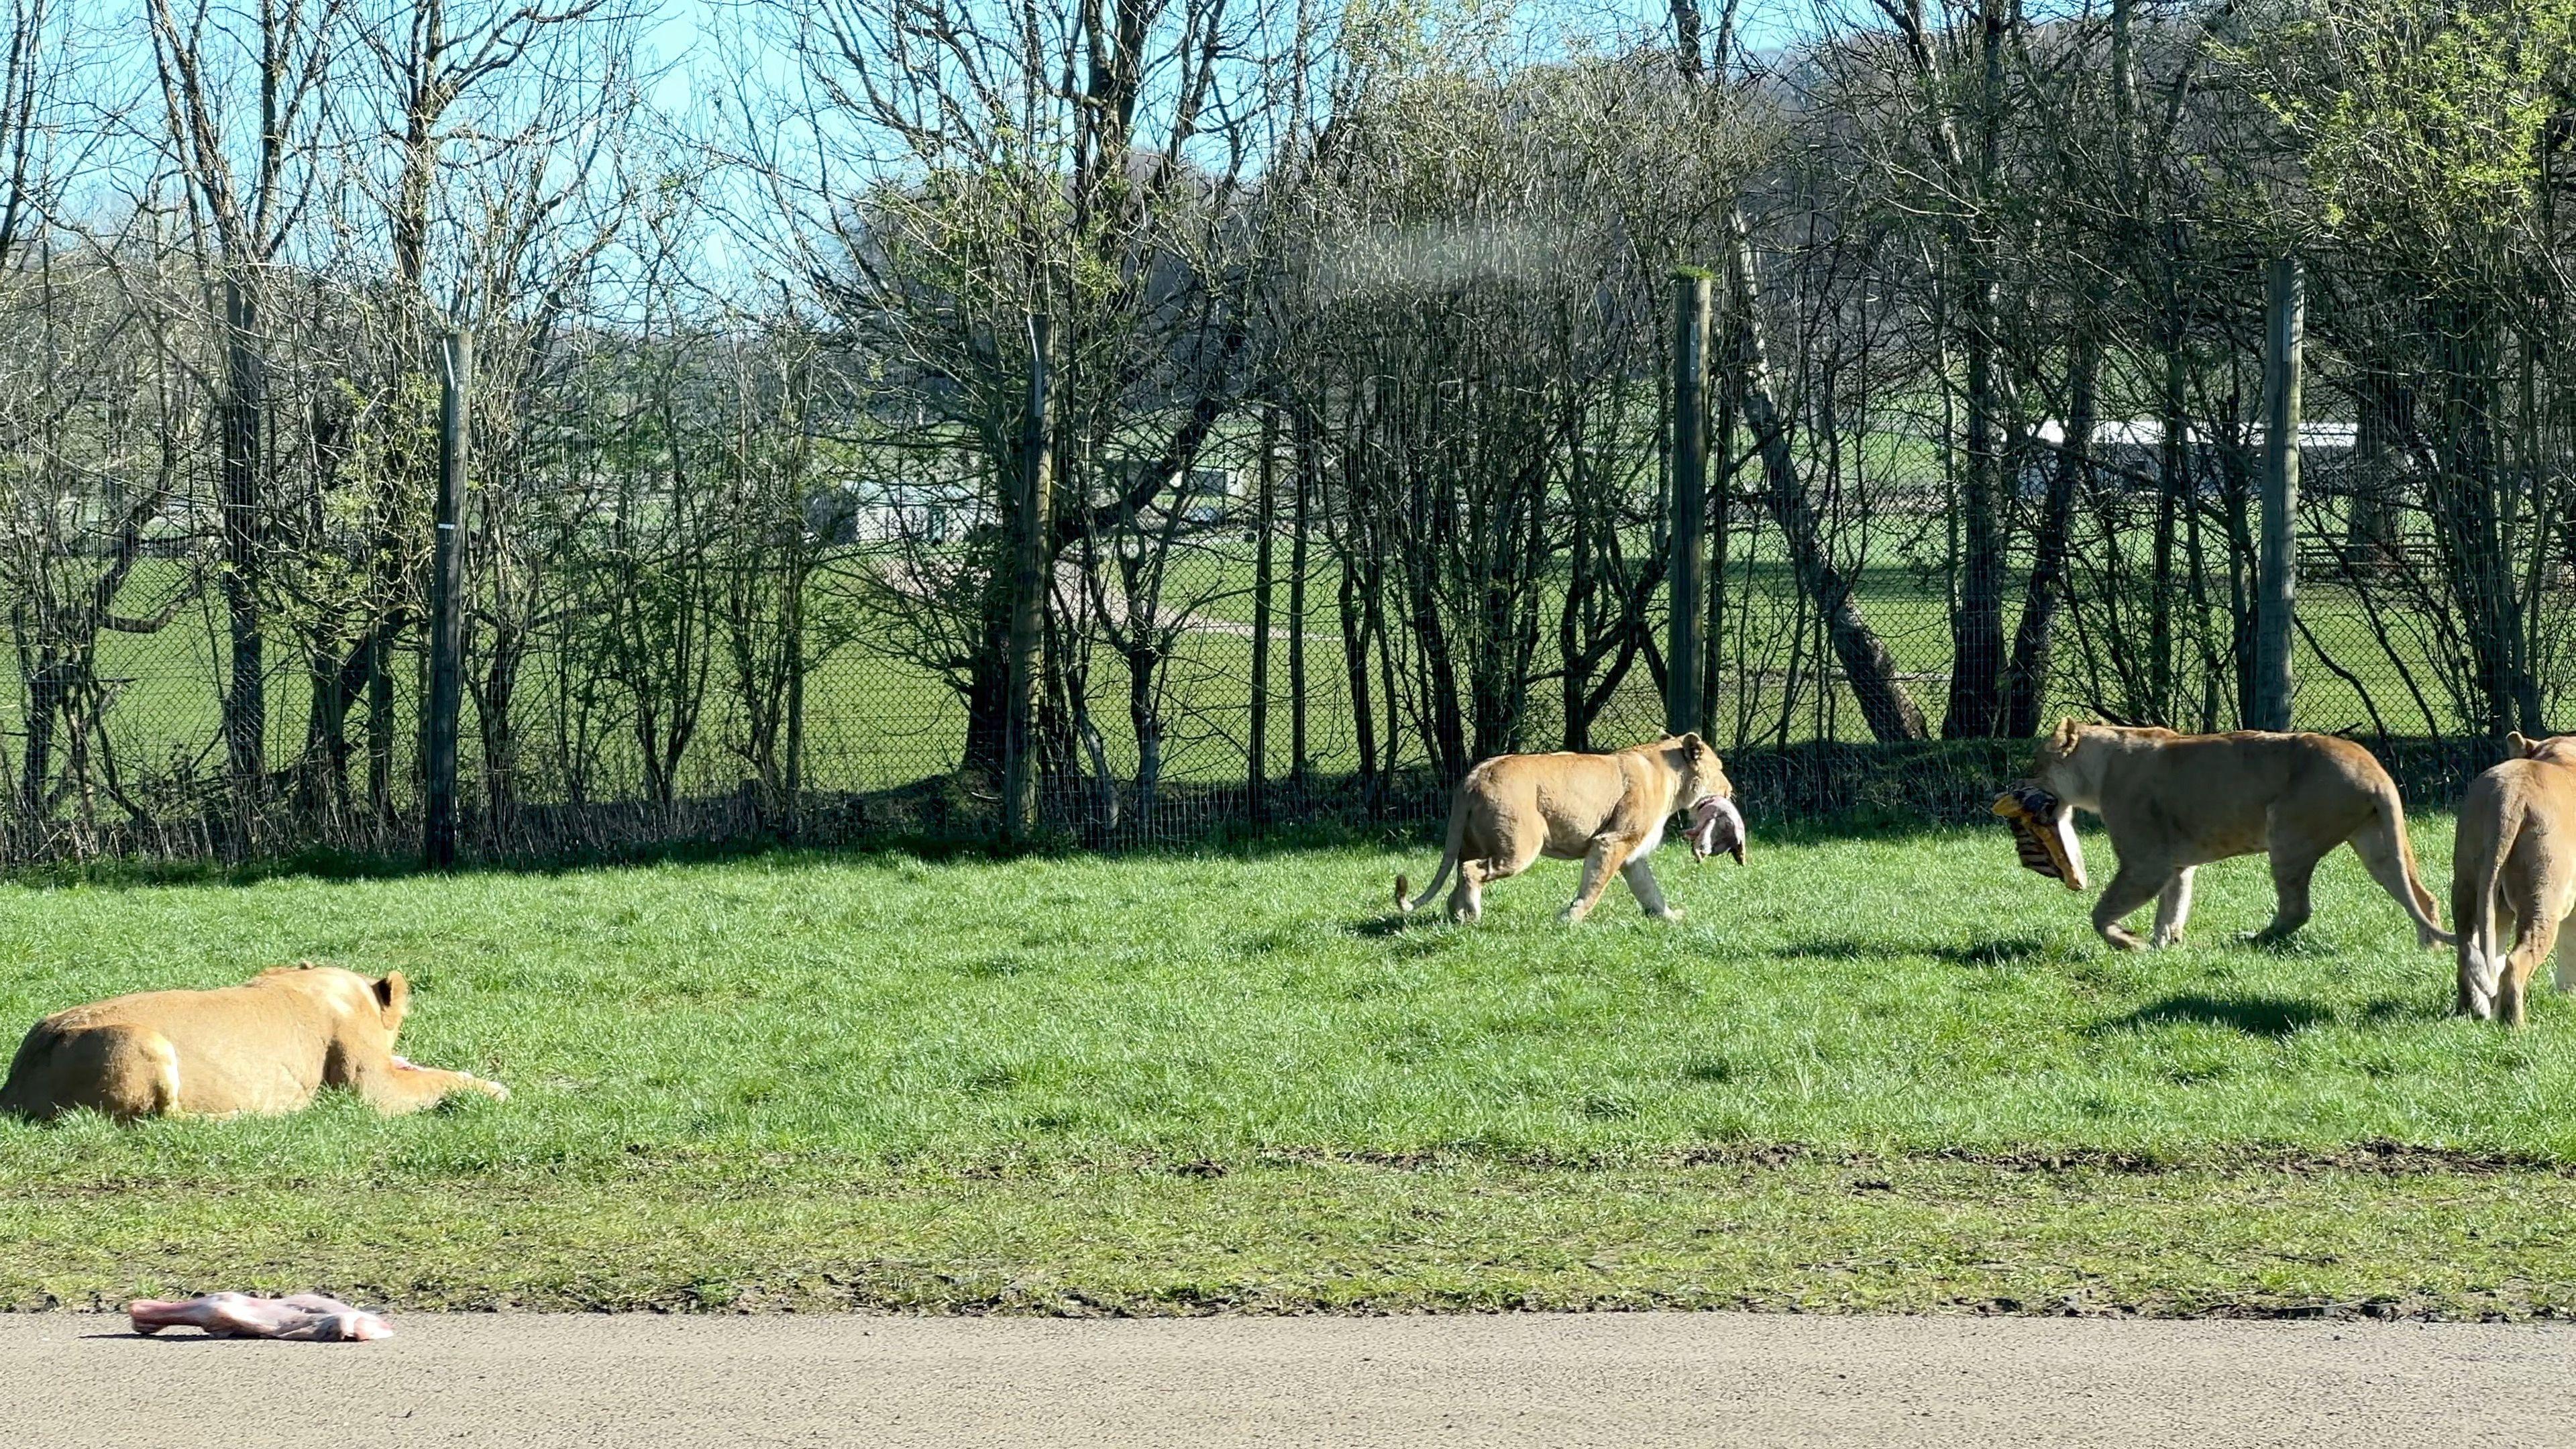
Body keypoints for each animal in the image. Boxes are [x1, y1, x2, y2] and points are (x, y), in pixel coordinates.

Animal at [0, 963, 508, 1122]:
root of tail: (14, 1084)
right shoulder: (371, 1089)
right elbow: (435, 1081)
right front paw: (496, 1090)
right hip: (144, 1041)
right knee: (159, 1120)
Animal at [1395, 733, 1741, 924]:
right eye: (1721, 769)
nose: (1730, 790)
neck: (1672, 777)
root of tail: (1474, 775)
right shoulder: (1611, 841)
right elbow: (1594, 886)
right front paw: (1570, 919)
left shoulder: (1633, 855)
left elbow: (1650, 891)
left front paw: (1669, 918)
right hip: (1520, 848)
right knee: (1470, 871)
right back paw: (1473, 916)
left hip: (1472, 842)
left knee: (1458, 875)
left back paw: (1457, 917)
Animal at [2030, 719, 2451, 952]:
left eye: (2036, 764)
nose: (2017, 784)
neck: (2101, 768)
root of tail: (2374, 771)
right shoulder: (2176, 864)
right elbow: (2172, 907)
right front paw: (2163, 946)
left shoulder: (2145, 863)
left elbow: (2102, 913)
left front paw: (2128, 942)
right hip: (2377, 842)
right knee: (2423, 897)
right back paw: (2427, 949)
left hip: (2288, 835)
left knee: (2297, 910)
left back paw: (2249, 940)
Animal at [2451, 732, 2576, 1026]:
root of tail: (2512, 795)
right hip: (2543, 898)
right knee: (2515, 961)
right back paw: (2515, 1024)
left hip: (2470, 886)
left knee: (2471, 950)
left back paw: (2474, 1010)